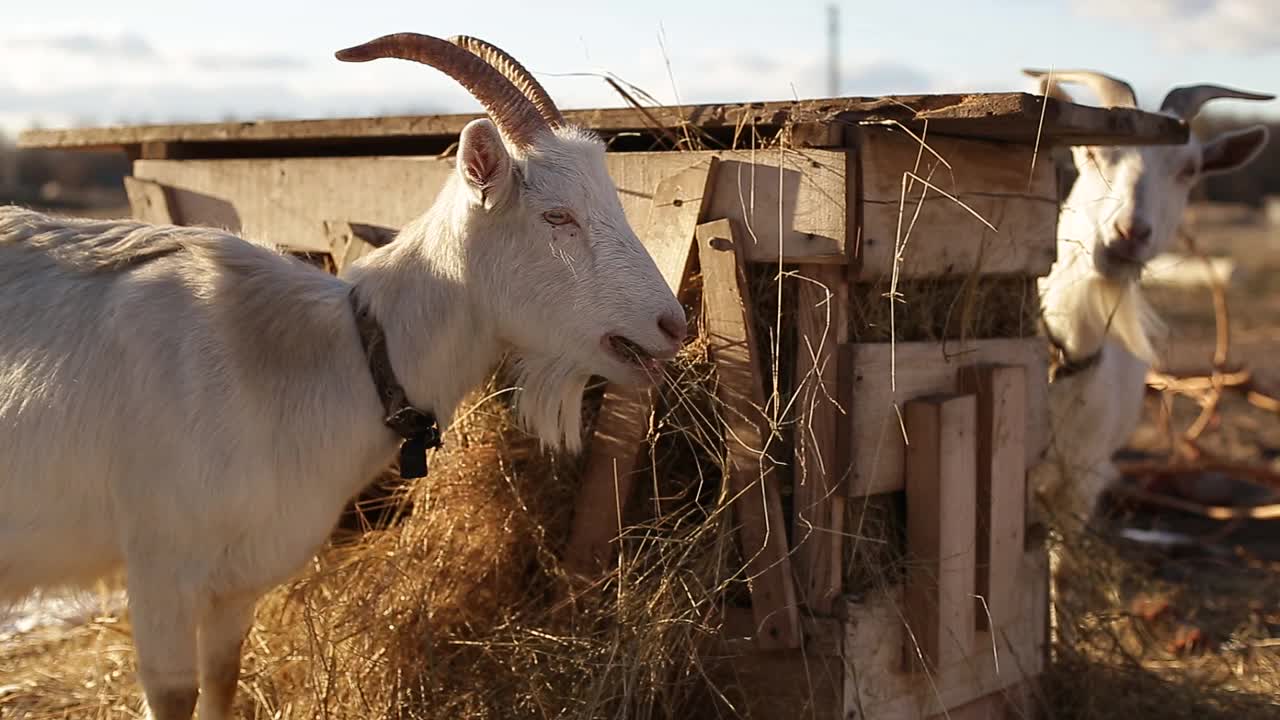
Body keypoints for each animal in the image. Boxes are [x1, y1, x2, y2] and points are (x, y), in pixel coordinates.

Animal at [0, 35, 691, 717]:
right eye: (556, 217)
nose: (672, 324)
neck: (333, 356)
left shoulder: (237, 583)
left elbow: (222, 682)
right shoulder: (161, 565)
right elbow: (175, 694)